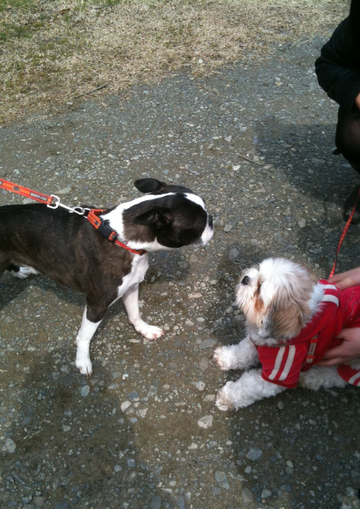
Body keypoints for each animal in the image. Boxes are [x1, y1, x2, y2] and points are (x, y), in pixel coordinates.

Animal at [214, 258, 360, 408]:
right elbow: (243, 351)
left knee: (340, 376)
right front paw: (227, 356)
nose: (246, 278)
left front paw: (228, 396)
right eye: (259, 271)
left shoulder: (283, 367)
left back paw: (312, 377)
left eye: (260, 289)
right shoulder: (257, 340)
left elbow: (249, 386)